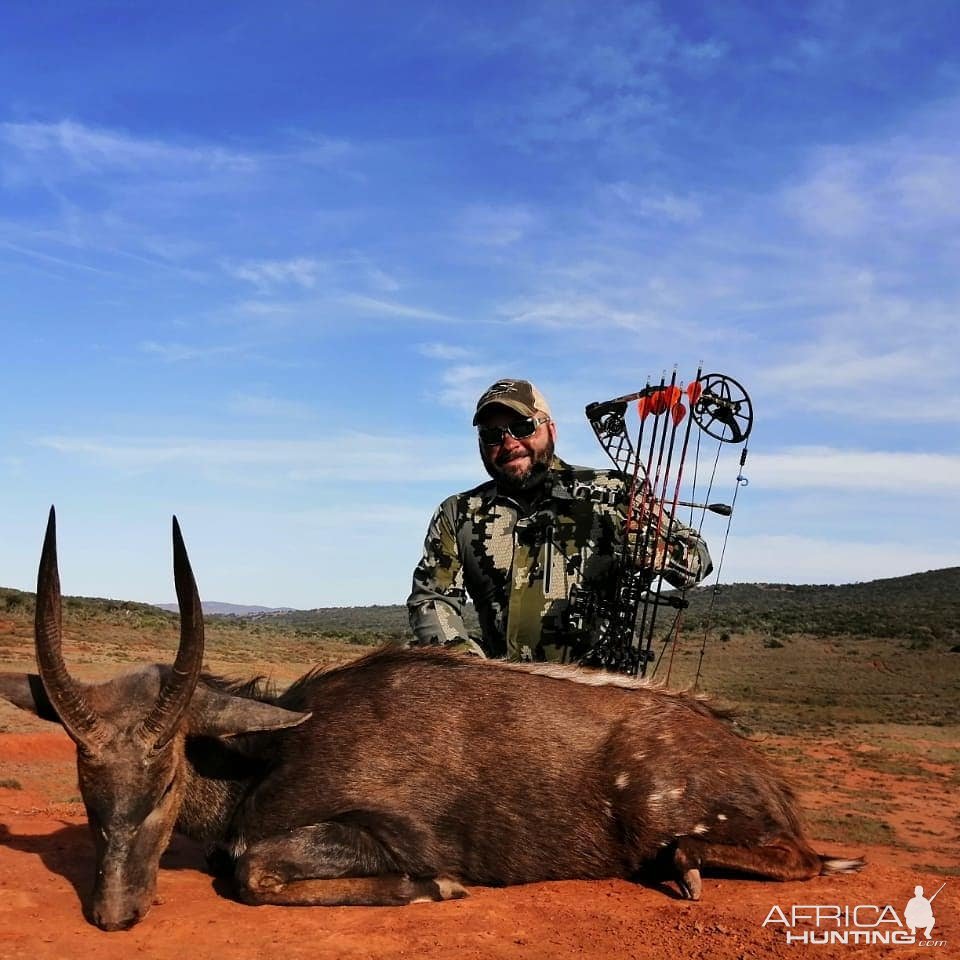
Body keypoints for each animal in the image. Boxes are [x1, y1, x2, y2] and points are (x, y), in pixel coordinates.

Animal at [0, 510, 864, 928]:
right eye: (87, 783)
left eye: (168, 778)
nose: (113, 915)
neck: (267, 754)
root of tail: (762, 768)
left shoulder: (390, 832)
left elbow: (251, 869)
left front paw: (437, 889)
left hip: (673, 815)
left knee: (801, 860)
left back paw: (686, 869)